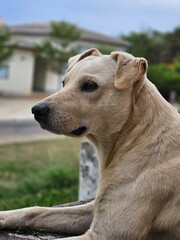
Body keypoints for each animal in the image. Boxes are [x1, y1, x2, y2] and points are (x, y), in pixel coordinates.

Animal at [0, 47, 180, 239]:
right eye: (63, 83)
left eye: (89, 85)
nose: (36, 110)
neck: (137, 135)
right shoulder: (95, 207)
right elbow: (35, 210)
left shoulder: (105, 233)